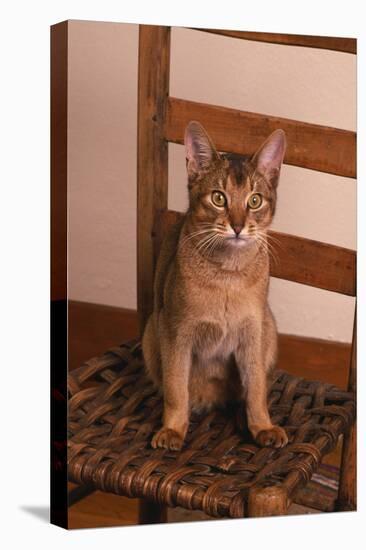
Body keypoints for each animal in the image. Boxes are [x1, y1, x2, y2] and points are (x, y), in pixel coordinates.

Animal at [143, 123, 288, 454]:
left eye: (255, 200)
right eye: (219, 198)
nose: (237, 226)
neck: (227, 274)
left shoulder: (253, 331)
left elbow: (257, 386)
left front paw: (262, 426)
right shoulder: (175, 330)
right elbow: (175, 386)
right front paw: (173, 429)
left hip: (271, 326)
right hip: (150, 331)